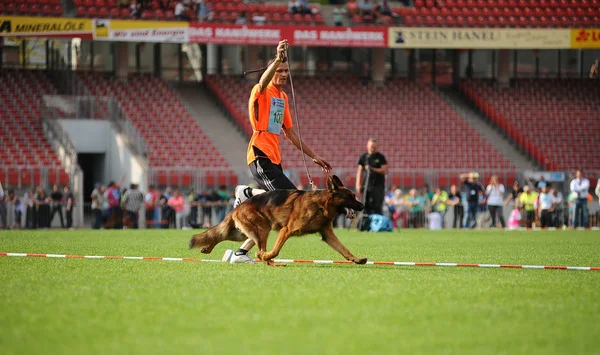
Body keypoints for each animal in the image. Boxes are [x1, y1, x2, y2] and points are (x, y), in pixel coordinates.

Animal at [189, 175, 366, 268]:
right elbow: (275, 250)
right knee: (259, 248)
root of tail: (238, 207)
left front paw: (356, 259)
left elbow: (343, 249)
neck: (320, 205)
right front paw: (265, 256)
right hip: (261, 231)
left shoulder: (328, 234)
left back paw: (207, 248)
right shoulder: (286, 230)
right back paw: (268, 260)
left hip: (241, 233)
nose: (363, 206)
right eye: (350, 197)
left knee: (218, 235)